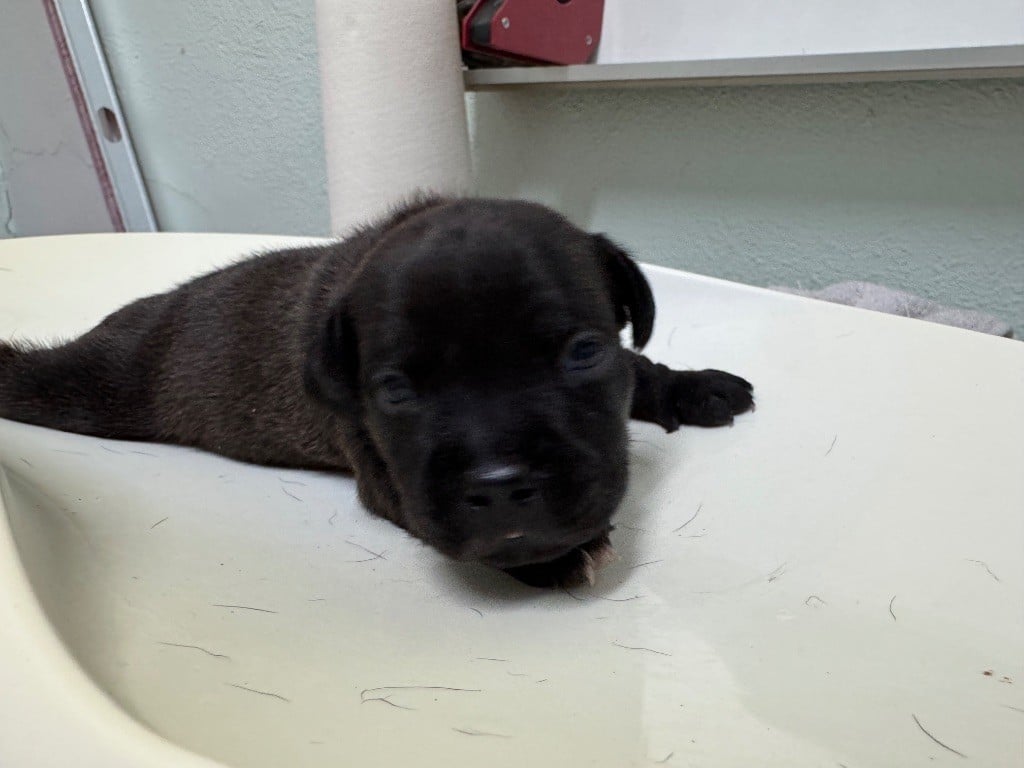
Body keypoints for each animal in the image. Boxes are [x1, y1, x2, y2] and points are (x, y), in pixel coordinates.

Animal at [0, 197, 753, 587]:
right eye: (394, 390)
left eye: (582, 354)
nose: (502, 488)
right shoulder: (386, 476)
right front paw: (557, 555)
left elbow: (638, 367)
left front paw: (693, 387)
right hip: (93, 386)